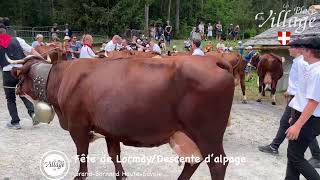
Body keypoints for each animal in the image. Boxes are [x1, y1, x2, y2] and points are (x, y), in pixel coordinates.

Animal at [8, 54, 234, 180]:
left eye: (21, 75)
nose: (15, 88)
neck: (63, 79)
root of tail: (212, 59)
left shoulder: (77, 125)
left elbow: (82, 155)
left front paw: (79, 177)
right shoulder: (109, 129)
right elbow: (114, 155)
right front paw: (121, 176)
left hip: (207, 133)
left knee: (217, 164)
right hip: (187, 135)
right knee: (193, 162)